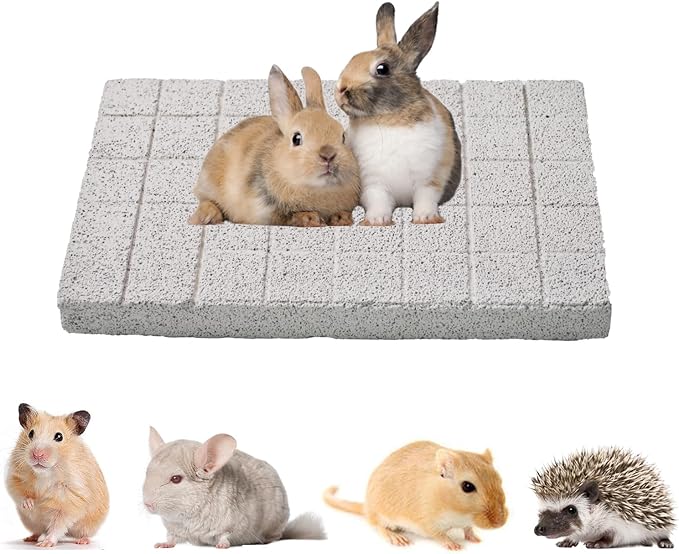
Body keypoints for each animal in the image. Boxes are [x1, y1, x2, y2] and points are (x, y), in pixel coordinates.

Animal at [5, 403, 109, 547]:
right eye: (31, 433)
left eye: (59, 437)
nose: (37, 454)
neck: (45, 473)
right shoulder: (15, 477)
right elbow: (20, 493)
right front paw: (29, 505)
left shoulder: (70, 499)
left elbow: (58, 524)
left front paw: (45, 544)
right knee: (38, 531)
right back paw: (30, 538)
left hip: (89, 525)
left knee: (82, 533)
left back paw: (81, 541)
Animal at [143, 427, 325, 548]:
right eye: (147, 473)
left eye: (176, 479)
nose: (147, 504)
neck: (188, 516)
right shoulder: (175, 529)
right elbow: (171, 538)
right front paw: (162, 544)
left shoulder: (234, 524)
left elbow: (226, 535)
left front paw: (221, 546)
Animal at [190, 65, 360, 227]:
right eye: (296, 138)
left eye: (343, 137)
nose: (328, 155)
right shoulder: (265, 209)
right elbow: (288, 216)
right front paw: (310, 218)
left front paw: (342, 219)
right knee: (207, 201)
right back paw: (205, 217)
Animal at [334, 2, 461, 226]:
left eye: (382, 68)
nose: (341, 88)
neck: (387, 119)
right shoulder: (372, 183)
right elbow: (378, 201)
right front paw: (376, 221)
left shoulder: (430, 178)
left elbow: (426, 198)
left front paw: (426, 219)